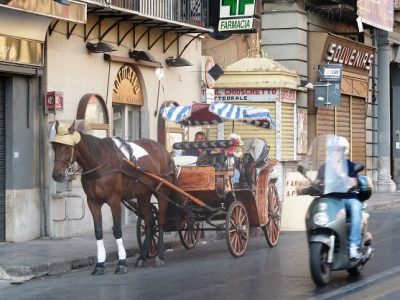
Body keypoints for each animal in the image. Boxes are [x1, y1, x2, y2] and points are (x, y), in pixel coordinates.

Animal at [50, 121, 175, 274]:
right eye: (54, 146)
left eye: (68, 147)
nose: (57, 175)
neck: (99, 162)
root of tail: (164, 150)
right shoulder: (92, 202)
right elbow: (98, 232)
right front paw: (100, 264)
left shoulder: (114, 200)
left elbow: (117, 230)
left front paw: (121, 262)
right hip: (143, 195)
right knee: (150, 221)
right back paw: (142, 257)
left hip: (162, 191)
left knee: (161, 221)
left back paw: (160, 256)